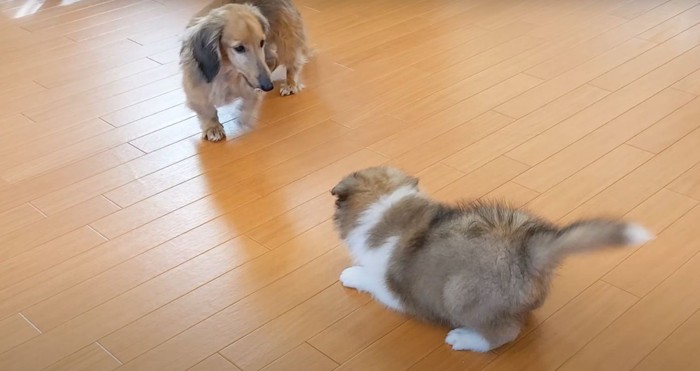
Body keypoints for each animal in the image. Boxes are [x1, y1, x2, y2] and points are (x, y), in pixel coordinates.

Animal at [180, 0, 308, 141]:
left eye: (261, 42)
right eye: (239, 48)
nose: (268, 86)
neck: (227, 71)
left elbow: (250, 101)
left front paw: (244, 115)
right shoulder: (196, 90)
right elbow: (206, 110)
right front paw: (213, 127)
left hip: (285, 42)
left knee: (292, 64)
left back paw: (290, 84)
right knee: (274, 60)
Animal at [330, 167, 652, 354]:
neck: (385, 204)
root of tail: (530, 249)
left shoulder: (390, 287)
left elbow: (369, 278)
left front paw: (350, 274)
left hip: (461, 295)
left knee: (504, 333)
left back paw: (463, 339)